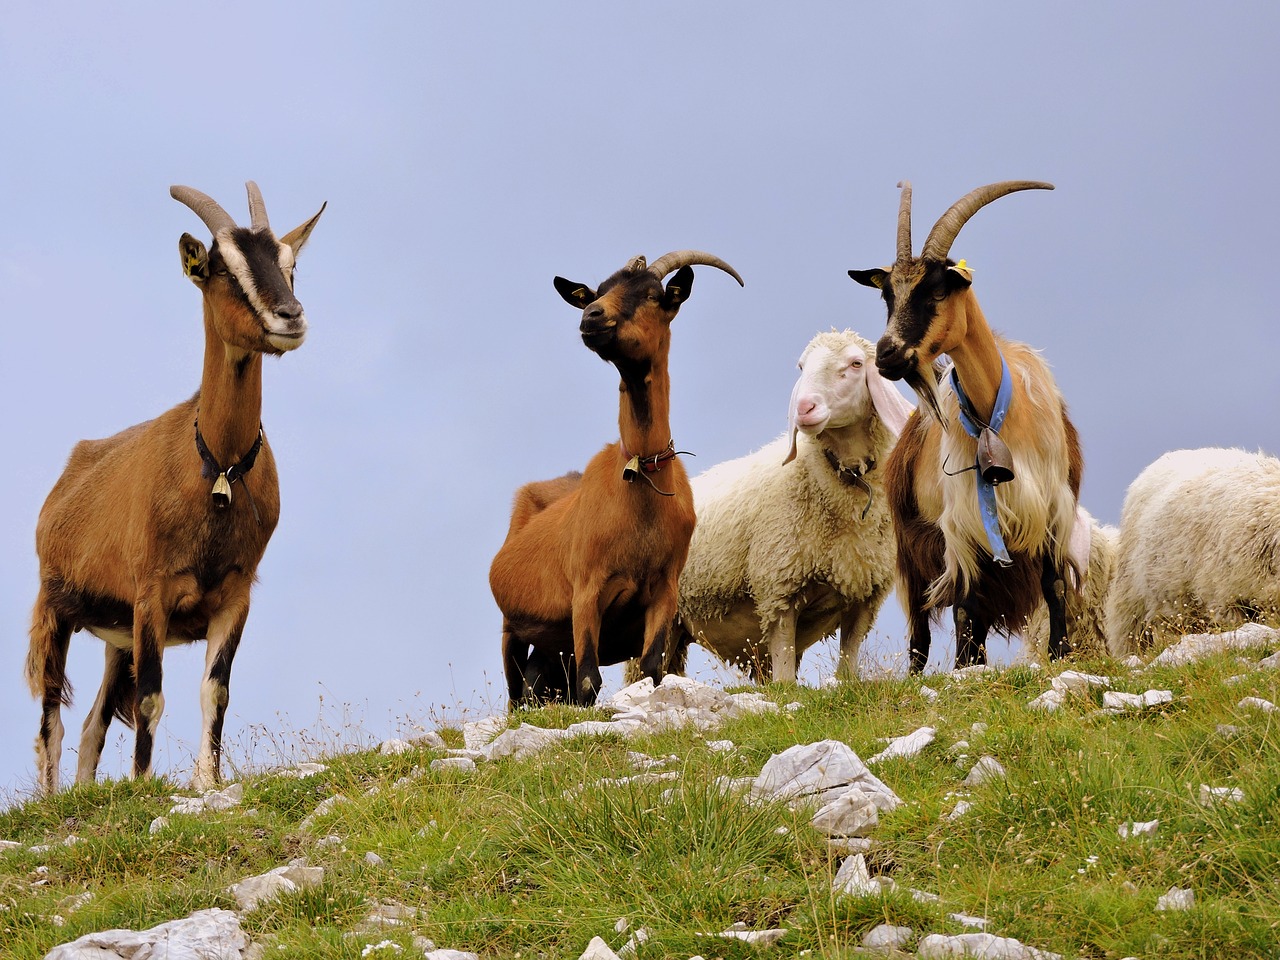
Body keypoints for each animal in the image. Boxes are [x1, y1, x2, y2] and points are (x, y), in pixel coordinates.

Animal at [26, 181, 325, 798]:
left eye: (291, 265)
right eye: (221, 268)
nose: (290, 316)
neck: (218, 466)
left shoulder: (234, 595)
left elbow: (216, 691)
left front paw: (208, 782)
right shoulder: (152, 594)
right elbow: (150, 699)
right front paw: (143, 786)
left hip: (116, 636)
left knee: (91, 723)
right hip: (55, 607)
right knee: (51, 721)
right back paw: (50, 799)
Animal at [491, 252, 747, 711]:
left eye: (652, 295)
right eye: (597, 292)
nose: (591, 317)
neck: (640, 485)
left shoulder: (664, 591)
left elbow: (651, 670)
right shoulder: (587, 592)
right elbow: (589, 683)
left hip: (551, 644)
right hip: (510, 628)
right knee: (517, 695)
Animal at [665, 330, 916, 686]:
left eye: (856, 363)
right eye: (801, 366)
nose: (803, 407)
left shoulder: (865, 594)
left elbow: (849, 658)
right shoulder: (778, 590)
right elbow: (784, 670)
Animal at [849, 184, 1080, 670]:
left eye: (937, 290)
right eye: (888, 296)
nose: (886, 355)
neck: (999, 416)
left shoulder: (1052, 506)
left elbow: (1054, 586)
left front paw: (1060, 653)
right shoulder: (961, 524)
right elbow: (964, 604)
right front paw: (962, 670)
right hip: (910, 550)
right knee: (922, 624)